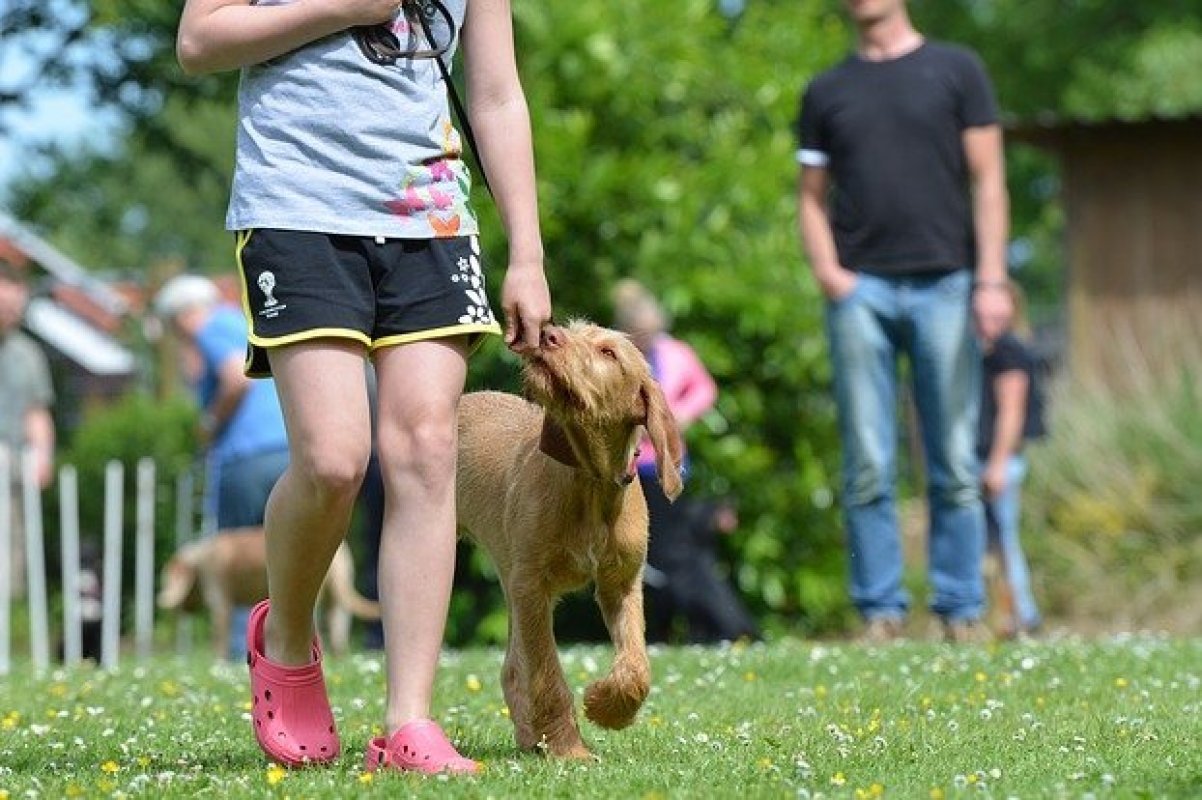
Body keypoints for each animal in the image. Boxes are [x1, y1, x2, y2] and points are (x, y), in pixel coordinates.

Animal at [157, 523, 377, 653]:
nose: (181, 610)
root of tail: (342, 552)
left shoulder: (218, 591)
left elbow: (220, 634)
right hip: (338, 590)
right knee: (338, 627)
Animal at [456, 317, 687, 754]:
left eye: (608, 352)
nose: (547, 334)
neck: (590, 483)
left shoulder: (621, 584)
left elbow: (637, 666)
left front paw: (607, 708)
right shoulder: (532, 587)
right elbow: (547, 675)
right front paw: (569, 750)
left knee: (512, 669)